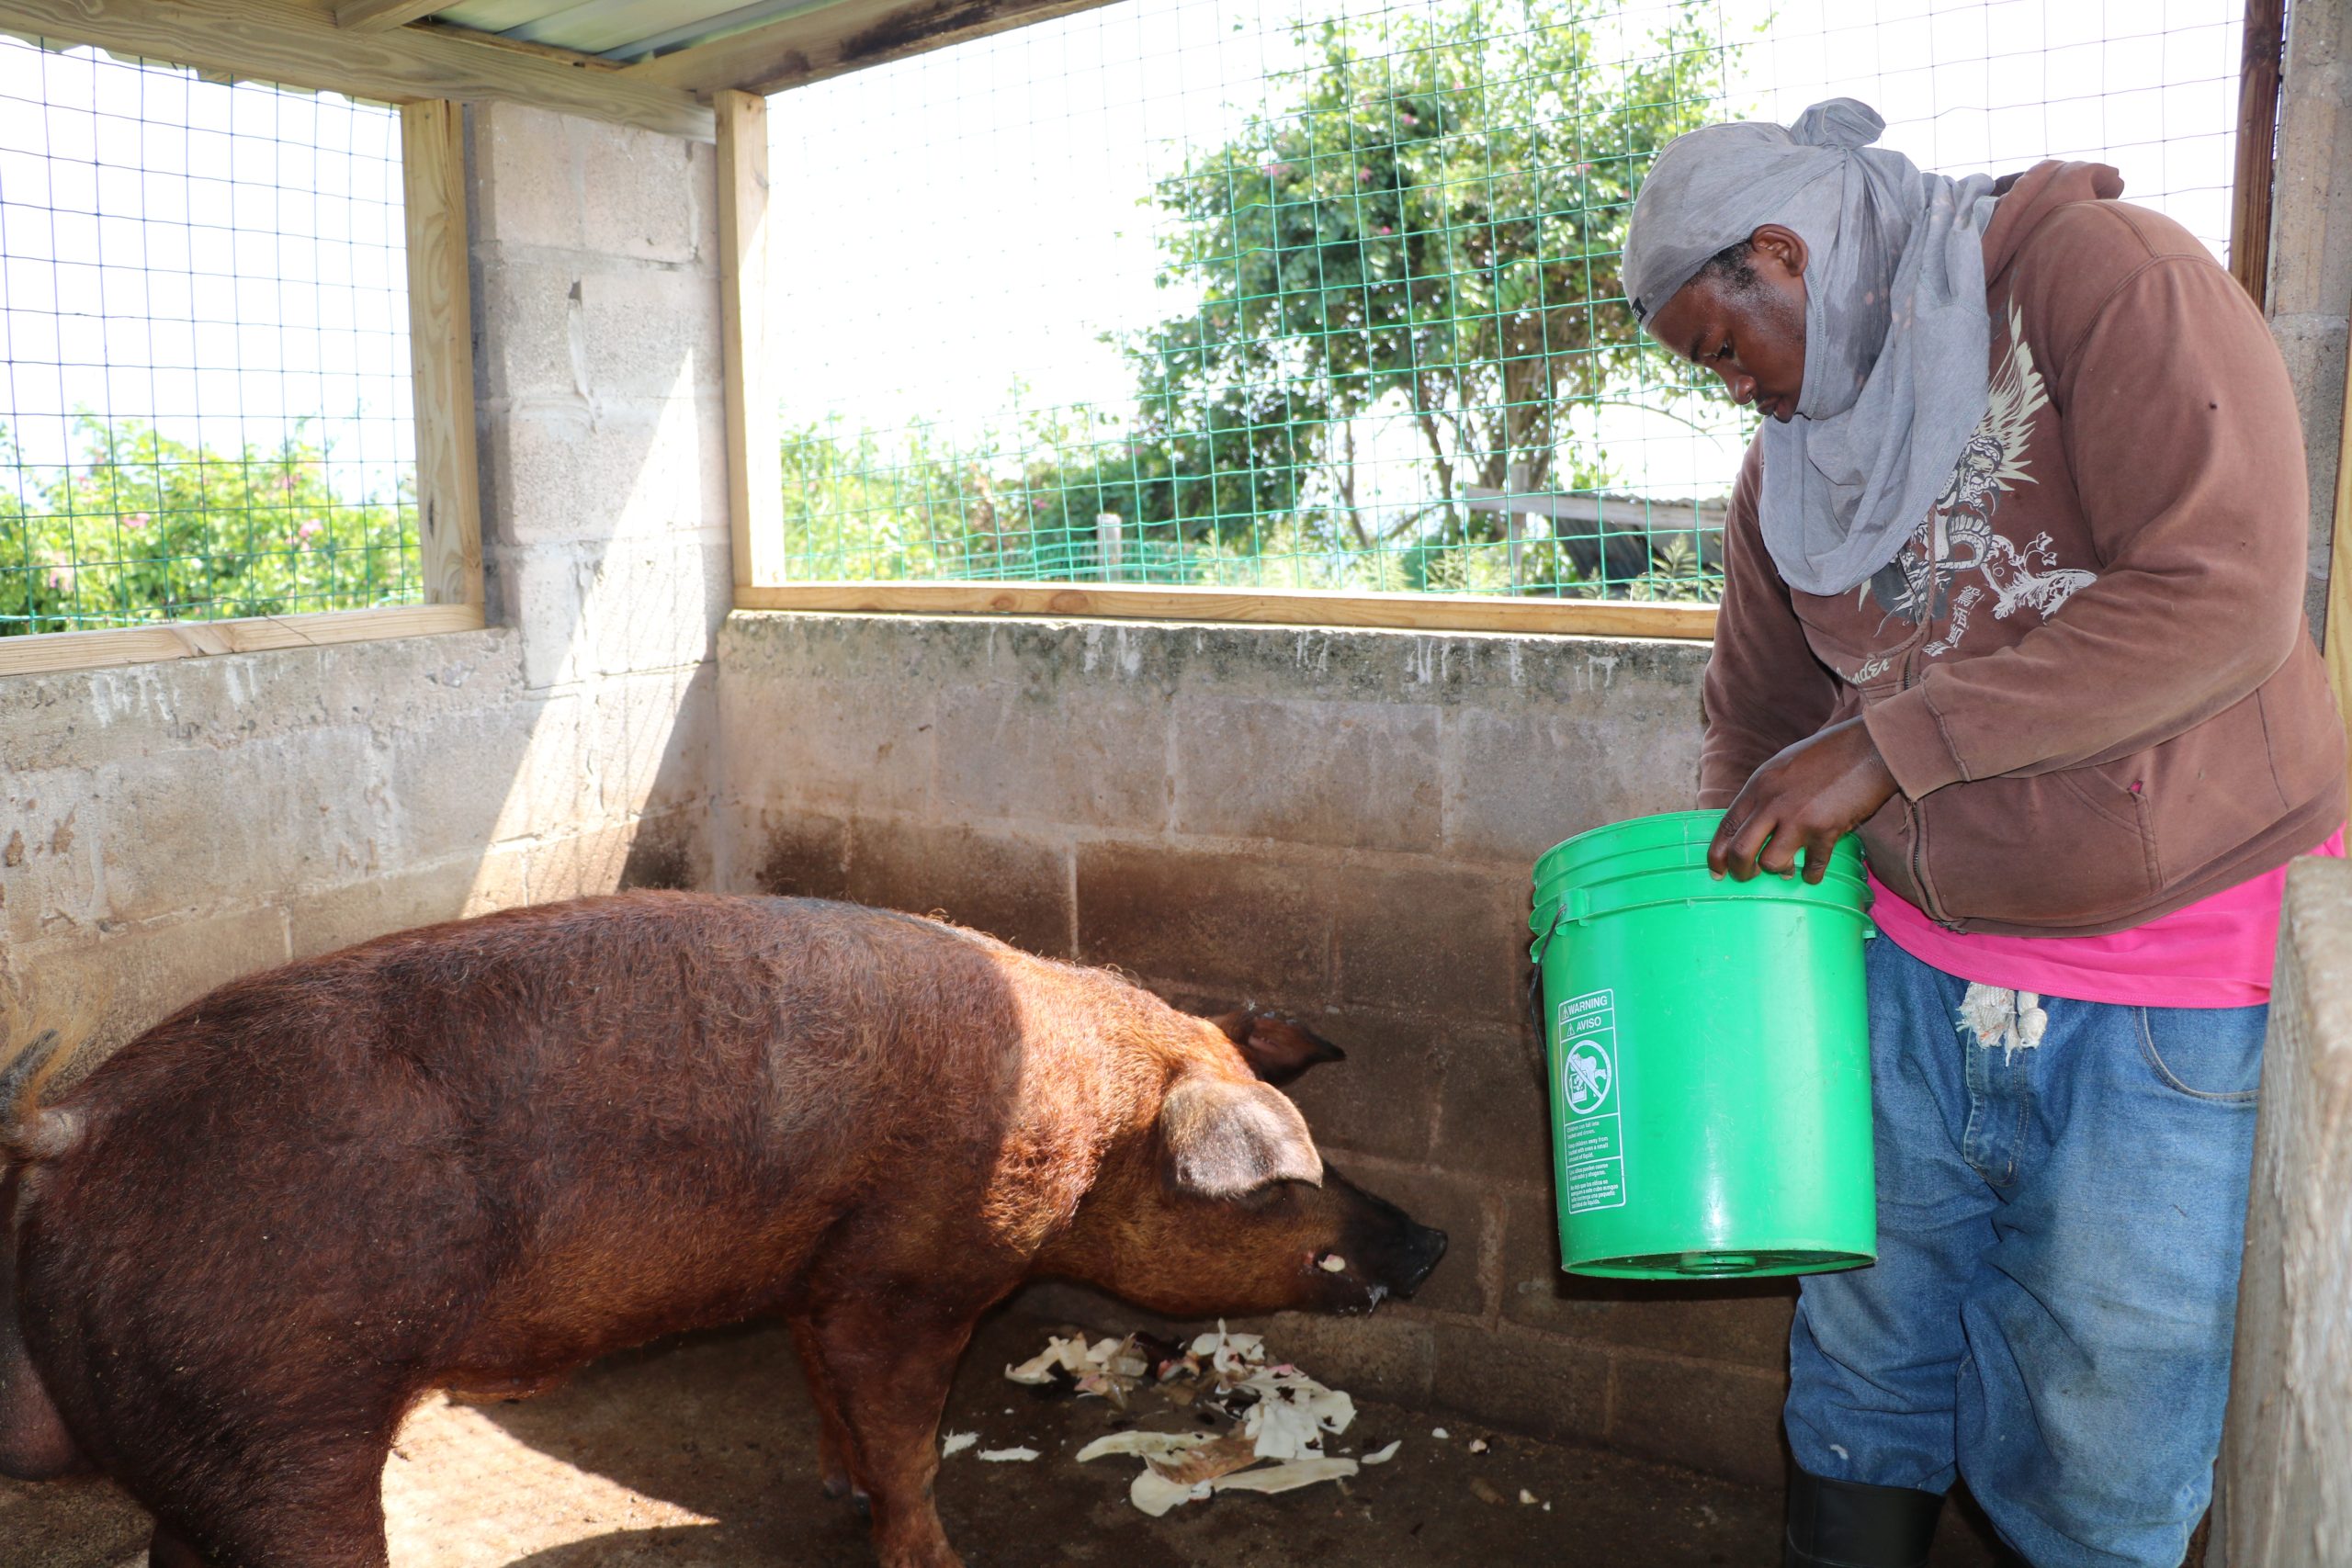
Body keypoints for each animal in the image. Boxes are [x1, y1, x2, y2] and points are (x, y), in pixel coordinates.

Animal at [0, 893, 1439, 1568]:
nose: (1429, 1244)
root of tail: (73, 1126)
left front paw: (837, 1486)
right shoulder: (910, 1279)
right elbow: (907, 1432)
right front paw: (934, 1544)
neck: (1089, 1133)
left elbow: (831, 1396)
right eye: (1284, 1177)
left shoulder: (817, 1273)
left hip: (199, 1428)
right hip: (274, 1414)